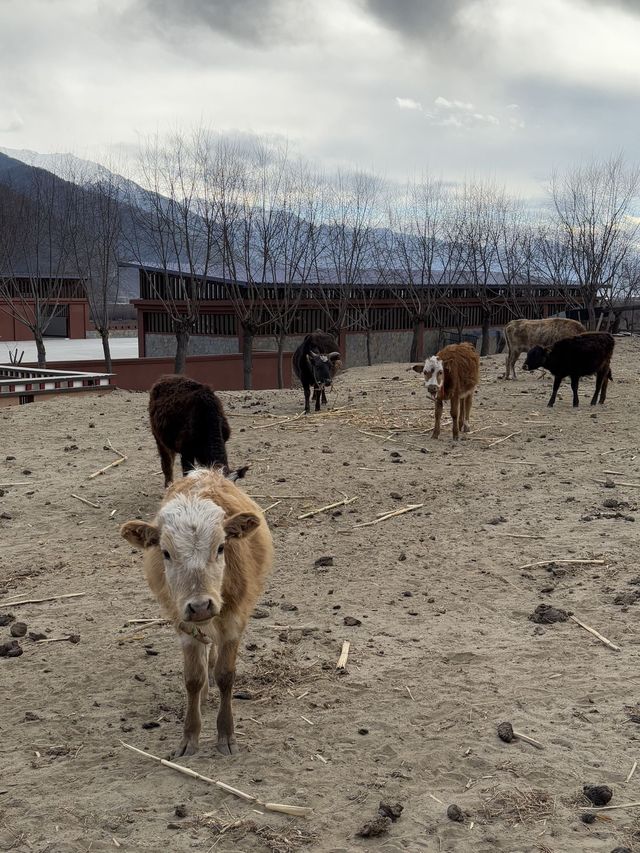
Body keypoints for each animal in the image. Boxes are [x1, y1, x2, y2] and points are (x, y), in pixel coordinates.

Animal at [120, 470, 272, 756]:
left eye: (221, 547)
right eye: (166, 553)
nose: (201, 605)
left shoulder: (234, 621)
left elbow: (225, 675)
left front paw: (226, 735)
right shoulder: (184, 626)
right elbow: (192, 678)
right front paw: (189, 737)